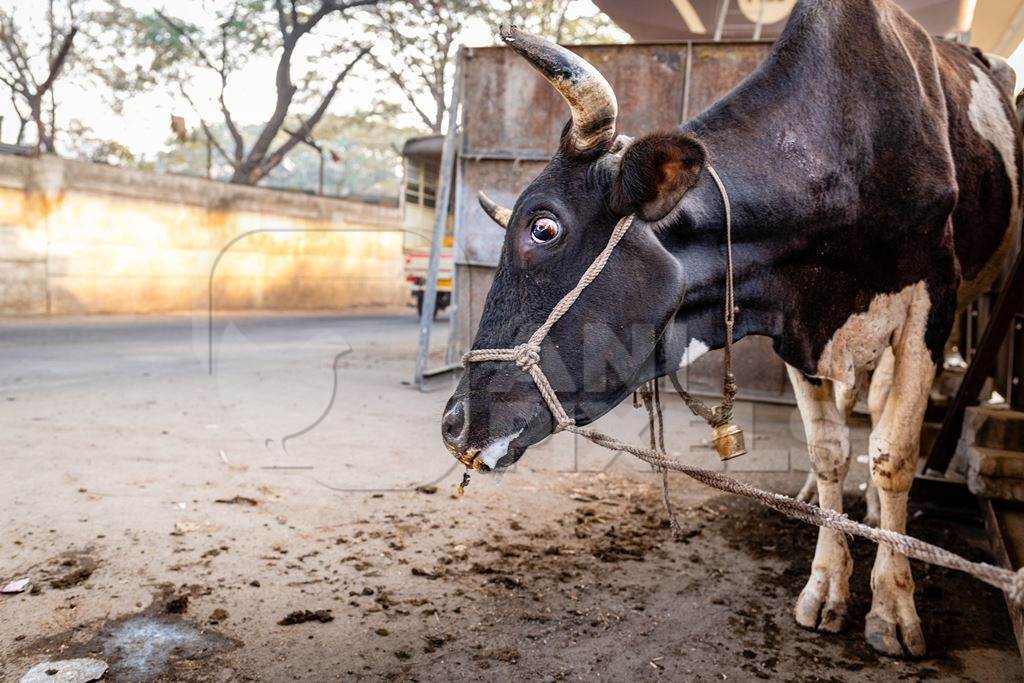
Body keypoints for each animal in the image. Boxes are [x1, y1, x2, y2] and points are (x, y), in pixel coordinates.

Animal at [442, 0, 1024, 655]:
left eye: (543, 227)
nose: (456, 421)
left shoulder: (933, 305)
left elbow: (894, 454)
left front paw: (894, 607)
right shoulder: (797, 327)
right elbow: (828, 450)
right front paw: (827, 582)